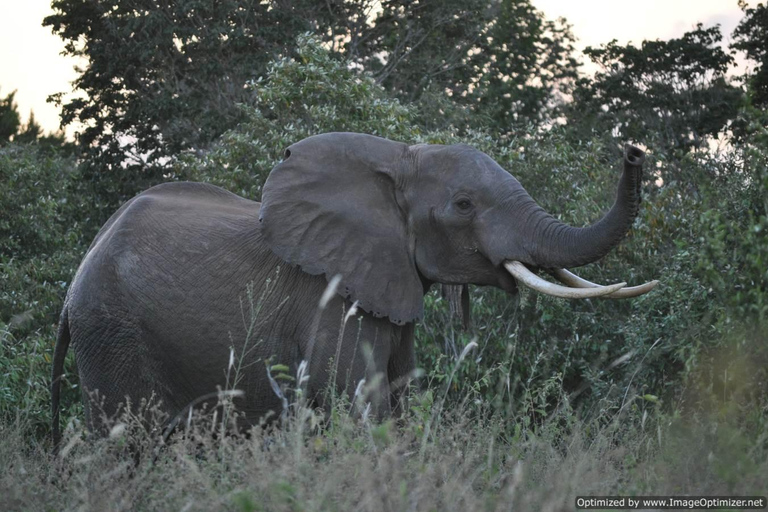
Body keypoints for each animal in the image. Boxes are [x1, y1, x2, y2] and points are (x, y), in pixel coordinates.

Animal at [51, 132, 656, 448]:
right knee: (127, 442)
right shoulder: (332, 300)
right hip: (112, 332)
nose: (634, 150)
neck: (396, 161)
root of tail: (79, 270)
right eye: (464, 206)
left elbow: (400, 398)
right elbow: (358, 401)